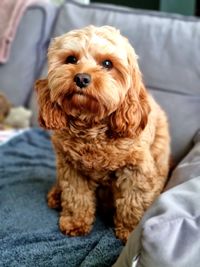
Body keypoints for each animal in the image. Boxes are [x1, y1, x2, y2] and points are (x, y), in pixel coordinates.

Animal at [34, 25, 170, 243]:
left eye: (107, 63)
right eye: (71, 59)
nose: (81, 78)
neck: (91, 127)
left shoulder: (136, 169)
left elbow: (133, 200)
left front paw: (129, 230)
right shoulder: (71, 167)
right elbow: (76, 197)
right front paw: (75, 223)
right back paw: (56, 195)